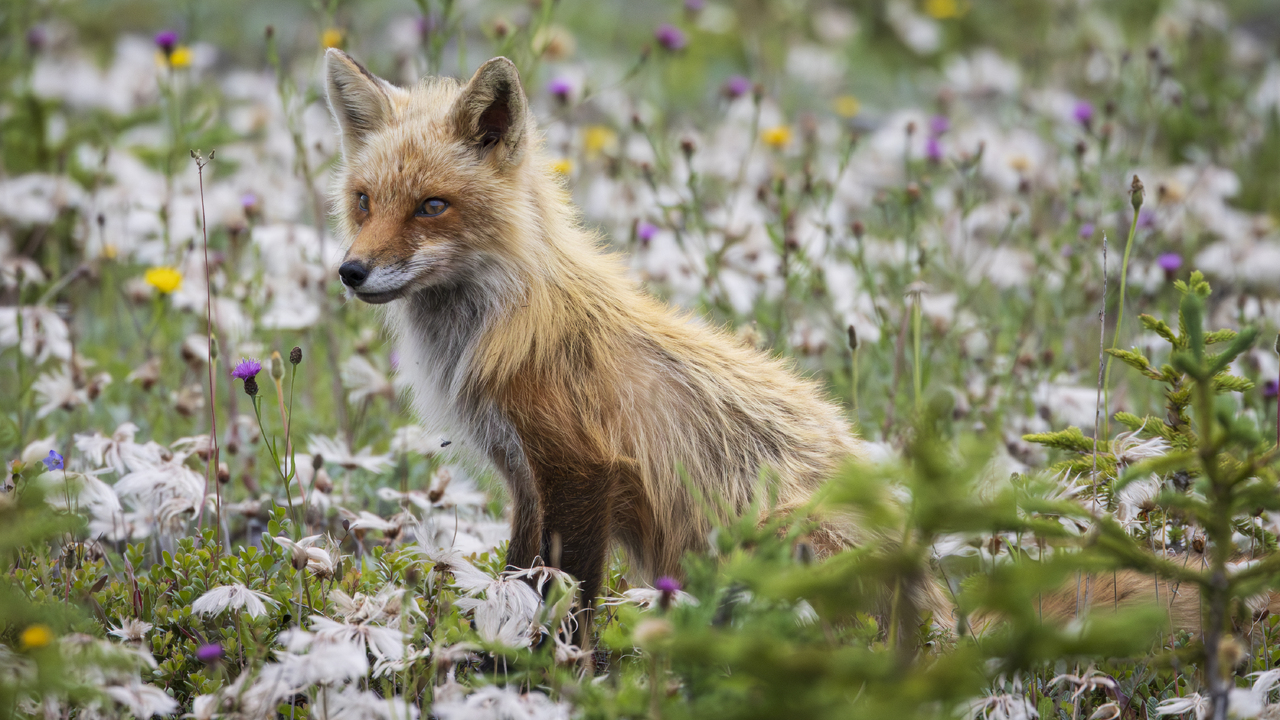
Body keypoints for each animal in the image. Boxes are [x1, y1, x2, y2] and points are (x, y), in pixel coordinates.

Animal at [322, 50, 1279, 645]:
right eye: (365, 199)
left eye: (433, 206)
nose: (351, 272)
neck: (496, 325)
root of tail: (944, 614)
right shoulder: (528, 481)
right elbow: (520, 584)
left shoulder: (584, 472)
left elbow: (567, 609)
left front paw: (554, 677)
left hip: (780, 539)